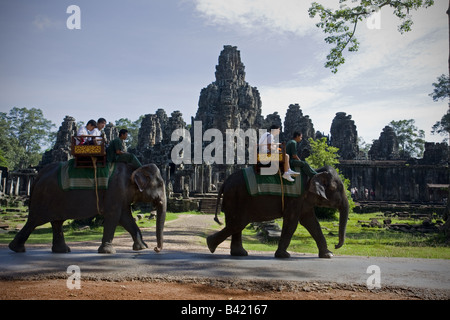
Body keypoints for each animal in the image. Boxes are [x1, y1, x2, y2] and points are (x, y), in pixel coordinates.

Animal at [8, 162, 167, 255]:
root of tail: (38, 175)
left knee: (57, 222)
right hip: (44, 197)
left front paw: (142, 248)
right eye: (160, 184)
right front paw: (108, 251)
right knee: (35, 220)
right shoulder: (115, 190)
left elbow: (126, 218)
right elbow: (115, 216)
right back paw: (16, 248)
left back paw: (62, 251)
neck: (134, 168)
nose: (156, 249)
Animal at [206, 166, 350, 258]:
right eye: (335, 188)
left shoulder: (304, 201)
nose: (336, 245)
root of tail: (225, 182)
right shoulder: (295, 198)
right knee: (238, 223)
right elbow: (292, 223)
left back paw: (238, 253)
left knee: (236, 224)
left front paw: (328, 255)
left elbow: (311, 223)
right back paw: (210, 245)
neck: (314, 172)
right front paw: (284, 255)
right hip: (236, 197)